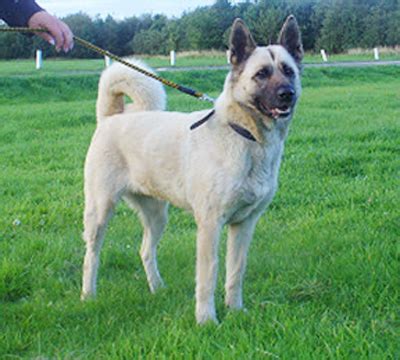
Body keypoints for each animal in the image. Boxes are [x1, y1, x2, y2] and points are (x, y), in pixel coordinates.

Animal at [83, 15, 304, 324]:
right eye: (261, 74)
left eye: (288, 70)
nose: (288, 94)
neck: (245, 135)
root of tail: (111, 118)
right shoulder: (210, 225)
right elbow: (208, 275)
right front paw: (206, 320)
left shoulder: (244, 224)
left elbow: (236, 272)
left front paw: (236, 310)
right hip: (100, 211)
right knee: (92, 255)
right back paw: (88, 296)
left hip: (157, 215)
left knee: (145, 250)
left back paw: (158, 288)